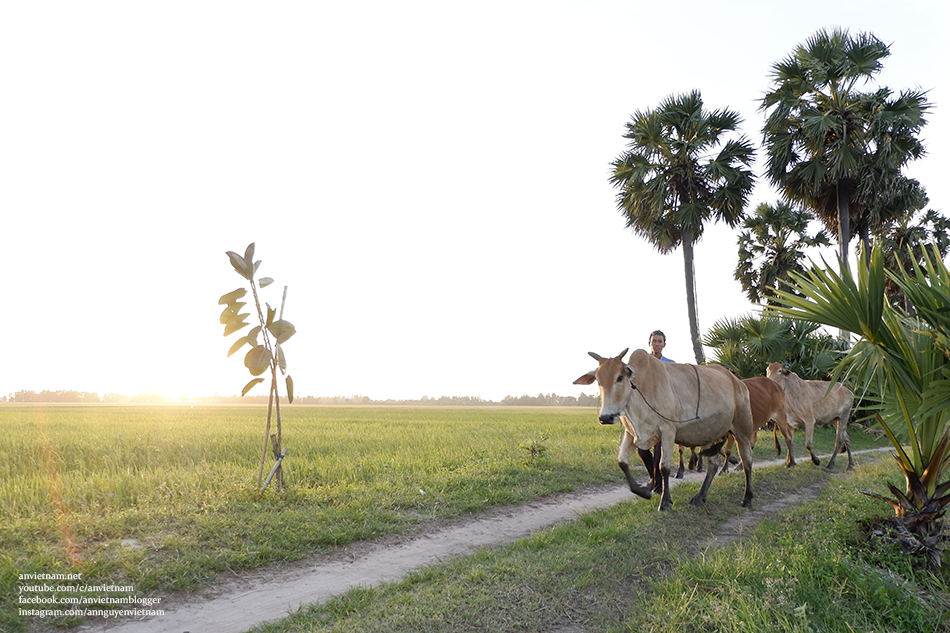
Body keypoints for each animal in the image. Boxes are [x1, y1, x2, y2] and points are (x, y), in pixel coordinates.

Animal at [576, 348, 756, 512]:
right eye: (598, 380)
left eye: (619, 377)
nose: (605, 417)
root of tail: (738, 382)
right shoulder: (631, 434)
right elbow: (622, 461)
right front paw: (643, 491)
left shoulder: (668, 431)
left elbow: (664, 467)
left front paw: (665, 502)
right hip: (710, 434)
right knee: (713, 465)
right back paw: (700, 497)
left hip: (742, 431)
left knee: (747, 462)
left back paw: (747, 498)